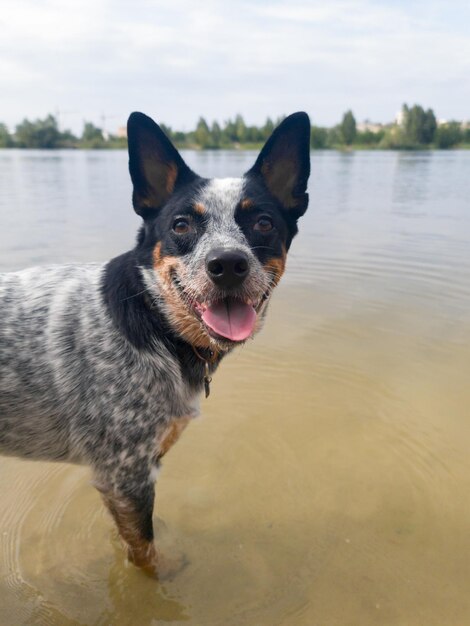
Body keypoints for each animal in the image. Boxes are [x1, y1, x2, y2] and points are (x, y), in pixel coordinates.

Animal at [0, 111, 312, 576]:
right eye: (181, 224)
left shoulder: (134, 472)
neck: (154, 318)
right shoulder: (125, 474)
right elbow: (145, 555)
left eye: (263, 223)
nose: (228, 264)